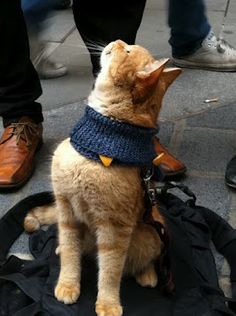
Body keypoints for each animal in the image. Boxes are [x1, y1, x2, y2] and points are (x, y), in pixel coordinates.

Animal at [24, 40, 181, 316]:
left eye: (127, 51)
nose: (118, 41)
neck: (99, 148)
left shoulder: (114, 231)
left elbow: (110, 273)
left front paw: (108, 303)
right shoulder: (67, 212)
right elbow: (71, 256)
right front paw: (68, 284)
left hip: (151, 236)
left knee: (143, 261)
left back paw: (147, 275)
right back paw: (60, 247)